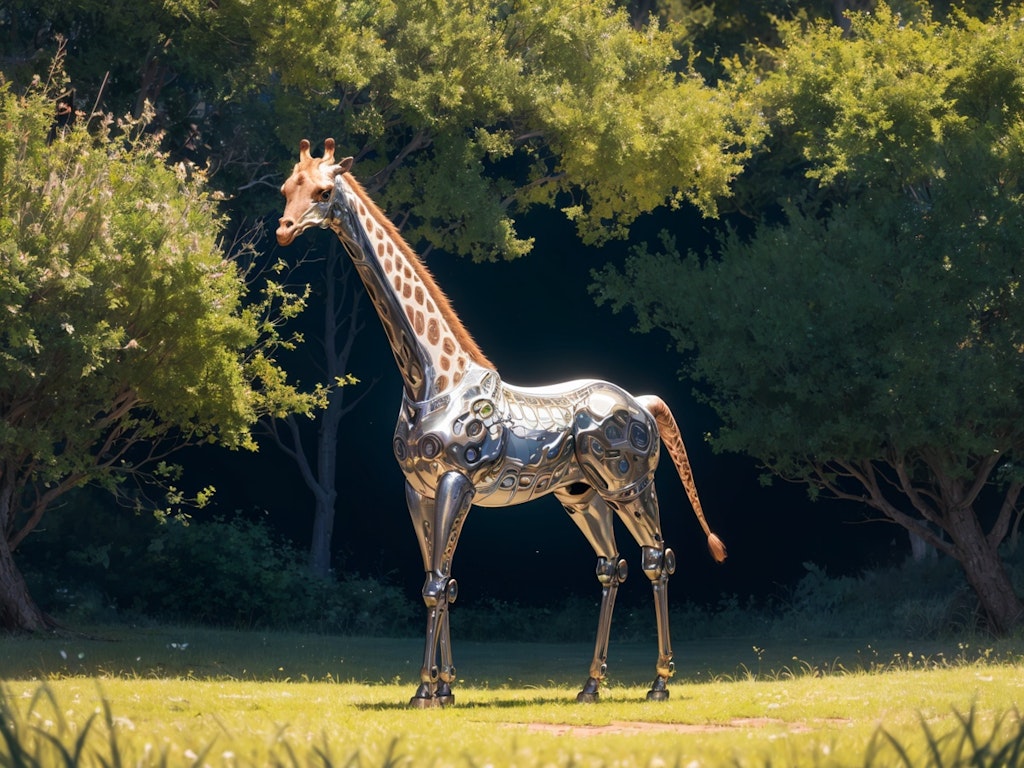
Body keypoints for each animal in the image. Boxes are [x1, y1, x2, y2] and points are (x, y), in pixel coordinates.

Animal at [276, 140, 724, 708]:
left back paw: (659, 683)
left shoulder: (457, 481)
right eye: (286, 188)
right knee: (612, 566)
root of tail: (642, 401)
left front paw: (423, 691)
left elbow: (436, 584)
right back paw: (590, 685)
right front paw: (445, 688)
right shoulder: (417, 489)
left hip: (631, 485)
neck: (430, 378)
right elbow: (440, 579)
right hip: (580, 495)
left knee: (656, 558)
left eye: (323, 191)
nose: (285, 229)